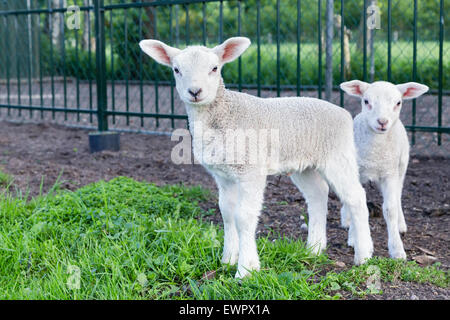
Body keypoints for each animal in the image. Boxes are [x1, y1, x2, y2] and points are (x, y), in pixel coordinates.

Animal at [140, 37, 372, 278]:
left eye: (214, 68)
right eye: (176, 70)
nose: (195, 91)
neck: (224, 115)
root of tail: (343, 113)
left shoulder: (251, 171)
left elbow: (243, 216)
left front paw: (246, 269)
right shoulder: (223, 175)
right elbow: (227, 213)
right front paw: (227, 260)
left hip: (338, 155)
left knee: (355, 197)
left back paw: (364, 255)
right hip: (303, 164)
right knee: (318, 194)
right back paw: (314, 249)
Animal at [342, 80, 428, 260]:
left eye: (398, 103)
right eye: (366, 101)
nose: (382, 121)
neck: (376, 152)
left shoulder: (390, 174)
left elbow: (390, 209)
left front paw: (397, 250)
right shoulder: (357, 172)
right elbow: (356, 204)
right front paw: (354, 238)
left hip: (401, 167)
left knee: (398, 195)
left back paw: (401, 225)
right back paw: (345, 220)